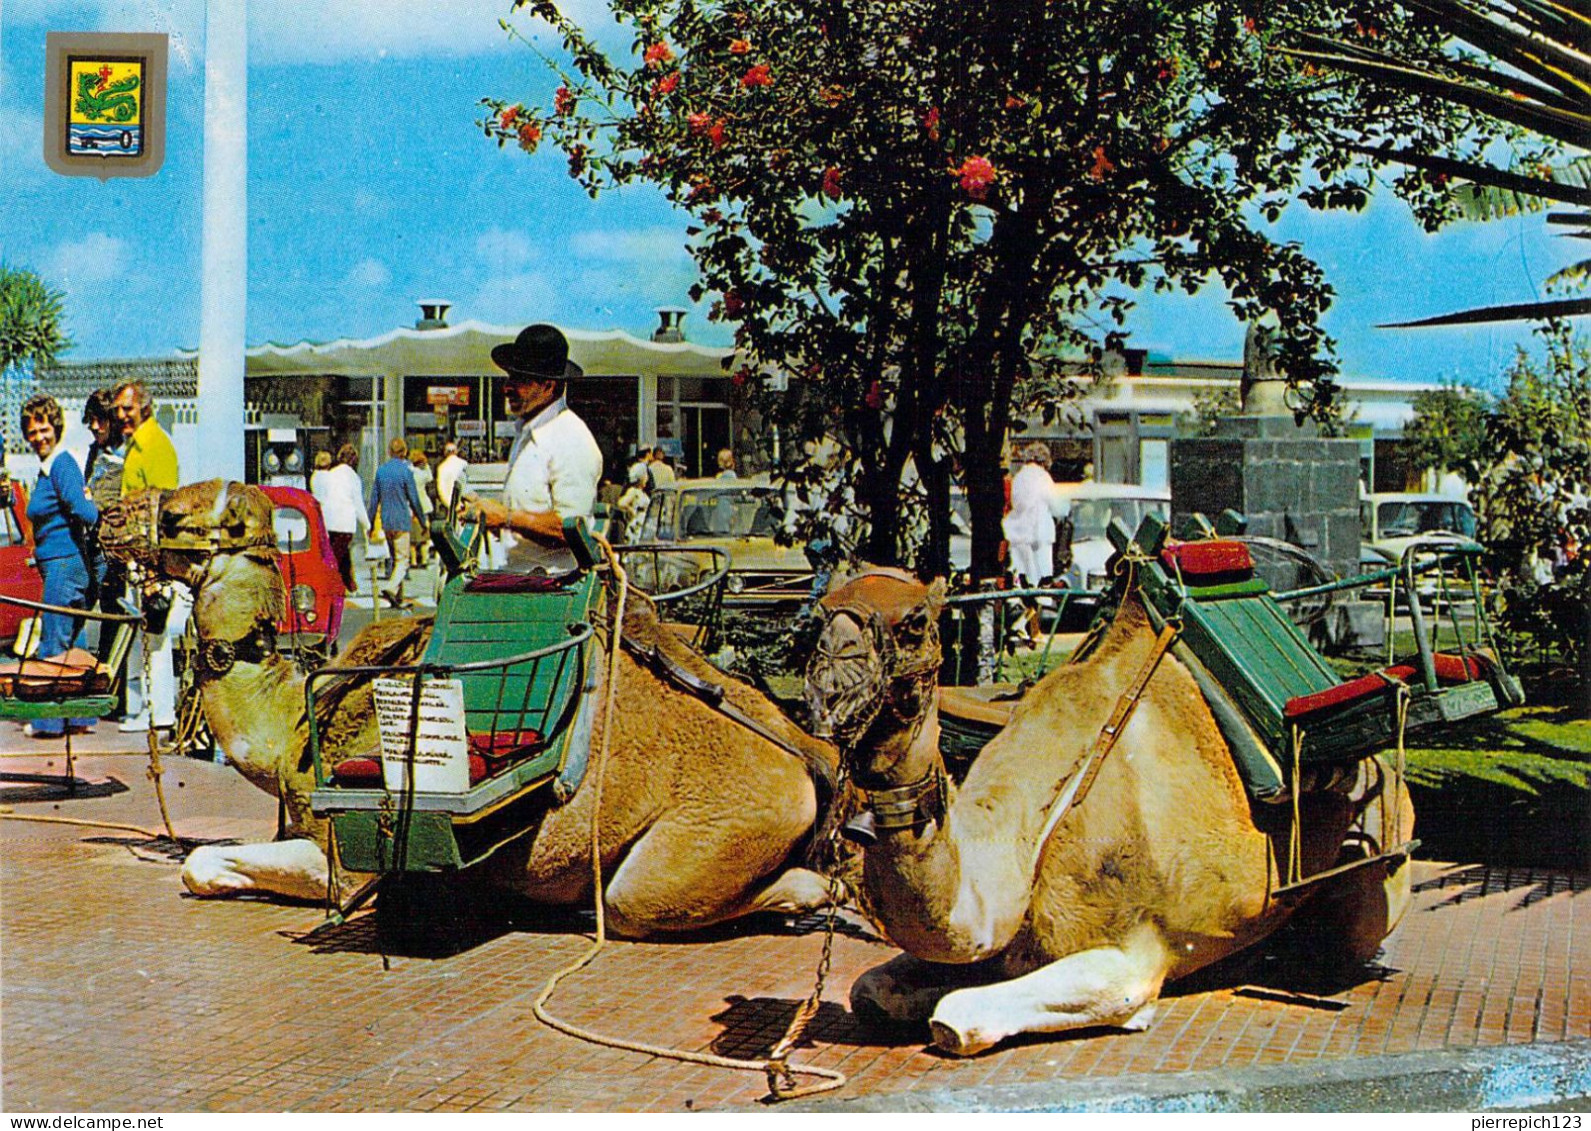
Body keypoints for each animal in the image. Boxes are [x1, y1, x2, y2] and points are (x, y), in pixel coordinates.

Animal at [96, 483, 846, 935]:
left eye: (175, 514)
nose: (106, 515)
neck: (288, 725)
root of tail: (811, 757)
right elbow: (203, 864)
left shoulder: (347, 857)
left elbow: (207, 865)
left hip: (708, 837)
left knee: (645, 898)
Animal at [808, 569, 1419, 1056]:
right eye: (820, 613)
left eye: (914, 621)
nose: (831, 680)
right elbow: (870, 992)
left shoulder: (1131, 956)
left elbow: (957, 1020)